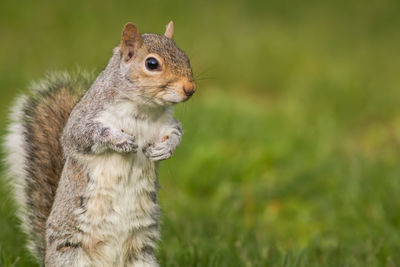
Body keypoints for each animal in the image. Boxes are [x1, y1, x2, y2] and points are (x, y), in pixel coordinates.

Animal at [2, 22, 197, 266]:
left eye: (185, 55)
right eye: (152, 64)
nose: (190, 88)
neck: (143, 109)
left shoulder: (167, 124)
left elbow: (174, 134)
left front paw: (165, 149)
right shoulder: (84, 120)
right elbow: (81, 135)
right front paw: (120, 140)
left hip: (142, 258)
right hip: (71, 255)